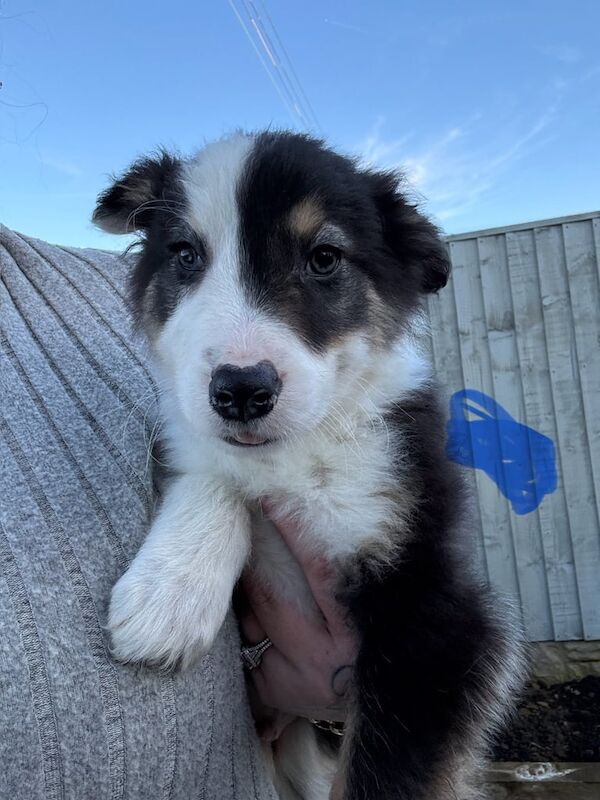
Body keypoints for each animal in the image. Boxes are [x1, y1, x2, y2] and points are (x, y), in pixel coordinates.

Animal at [92, 133, 520, 800]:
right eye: (185, 254)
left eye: (324, 258)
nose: (241, 390)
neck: (297, 453)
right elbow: (213, 469)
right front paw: (168, 596)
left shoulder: (435, 616)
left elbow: (383, 777)